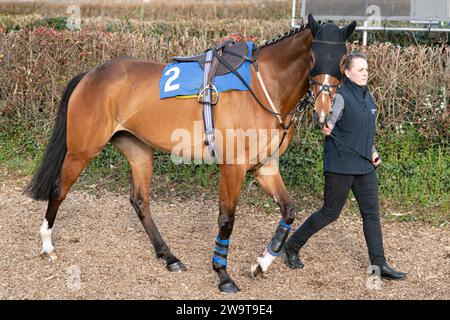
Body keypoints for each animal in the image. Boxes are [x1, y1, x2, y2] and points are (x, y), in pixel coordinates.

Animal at [26, 15, 356, 296]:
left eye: (342, 60)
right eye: (313, 58)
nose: (324, 110)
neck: (263, 88)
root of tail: (91, 74)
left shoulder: (265, 168)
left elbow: (288, 210)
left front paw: (261, 263)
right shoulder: (232, 168)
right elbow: (226, 220)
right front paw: (222, 274)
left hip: (138, 151)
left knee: (140, 201)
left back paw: (168, 256)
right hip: (82, 149)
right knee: (59, 189)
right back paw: (46, 245)